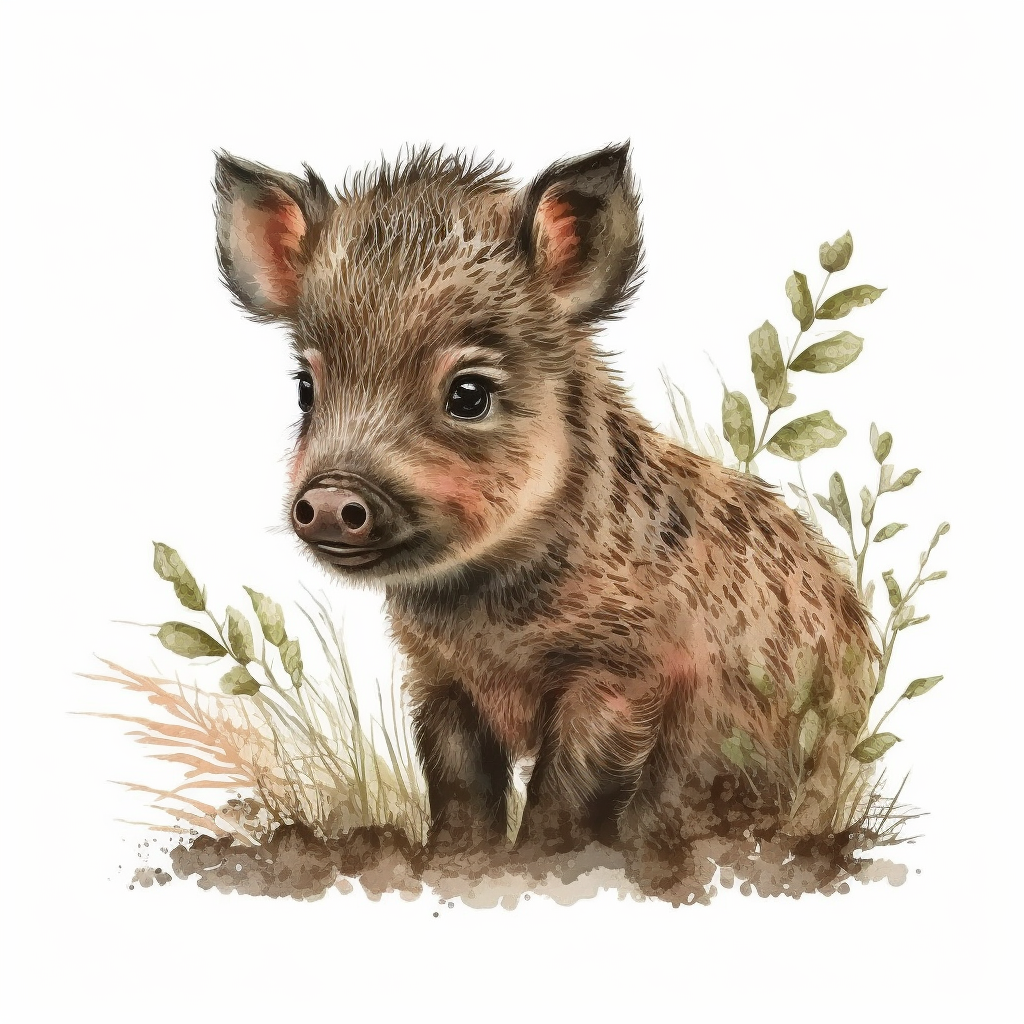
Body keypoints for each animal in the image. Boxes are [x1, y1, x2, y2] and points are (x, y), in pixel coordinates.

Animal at [213, 144, 877, 862]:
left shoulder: (623, 673)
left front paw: (538, 862)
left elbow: (568, 789)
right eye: (306, 387)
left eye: (469, 393)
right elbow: (458, 783)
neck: (483, 617)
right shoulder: (438, 680)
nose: (332, 496)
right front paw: (453, 859)